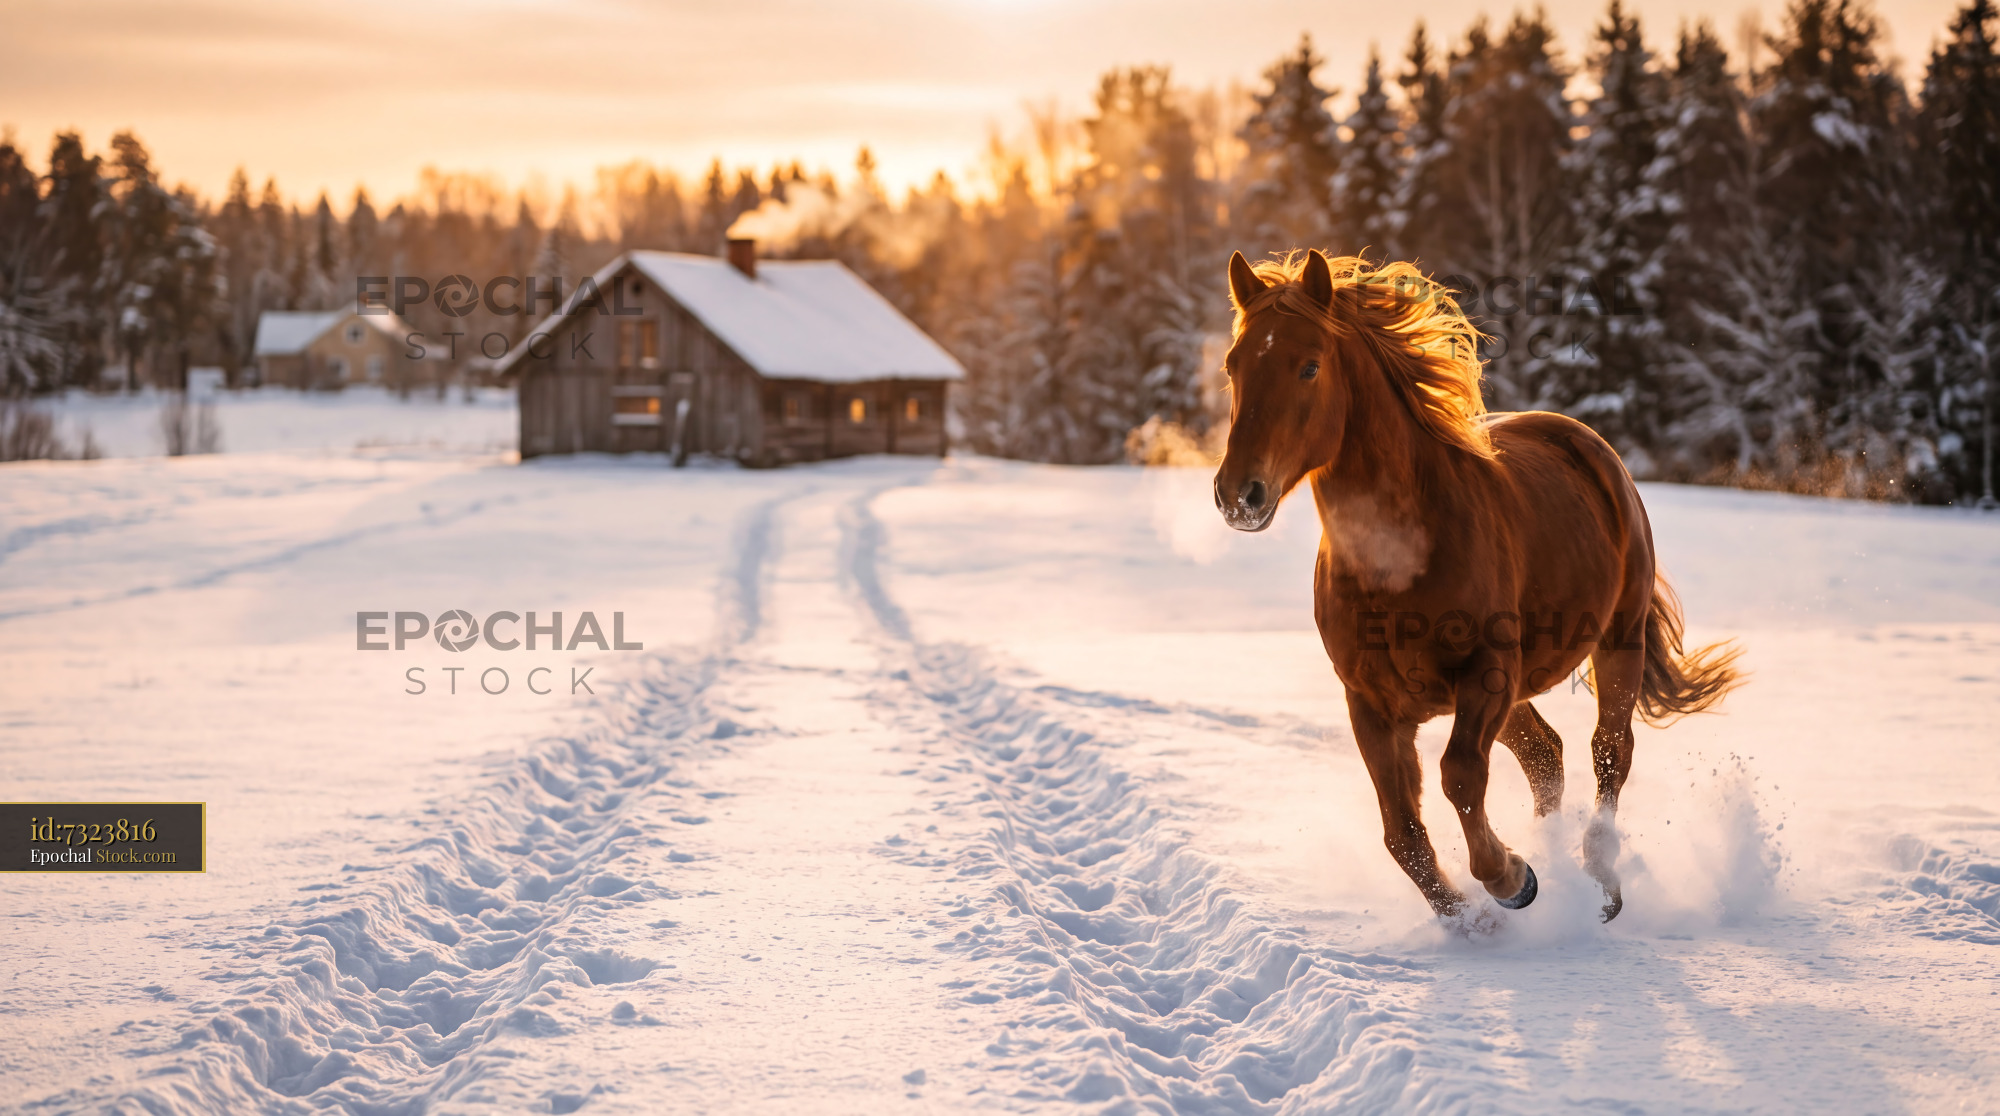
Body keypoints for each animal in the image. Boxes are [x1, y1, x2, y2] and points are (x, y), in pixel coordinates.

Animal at [1212, 249, 1741, 923]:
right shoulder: (1370, 703)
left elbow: (1460, 775)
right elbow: (1402, 833)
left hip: (1615, 642)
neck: (1397, 568)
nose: (1239, 495)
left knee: (1609, 752)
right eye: (1234, 365)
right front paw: (1472, 920)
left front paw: (1513, 878)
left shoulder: (1487, 671)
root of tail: (1589, 446)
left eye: (1309, 365)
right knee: (1546, 753)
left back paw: (1599, 880)